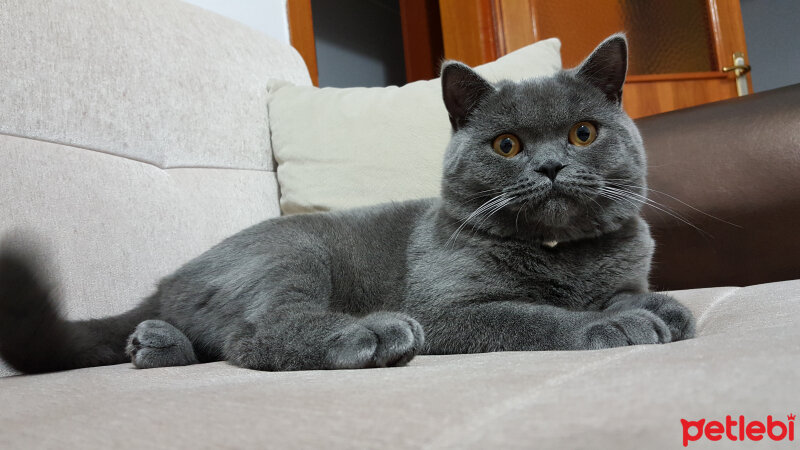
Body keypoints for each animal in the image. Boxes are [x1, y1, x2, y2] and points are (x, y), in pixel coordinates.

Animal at [0, 34, 692, 372]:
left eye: (583, 133)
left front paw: (658, 306)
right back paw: (372, 335)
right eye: (507, 144)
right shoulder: (446, 310)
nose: (549, 166)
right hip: (293, 252)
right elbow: (530, 316)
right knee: (255, 334)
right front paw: (613, 324)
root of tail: (169, 279)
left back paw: (157, 344)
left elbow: (628, 292)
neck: (560, 255)